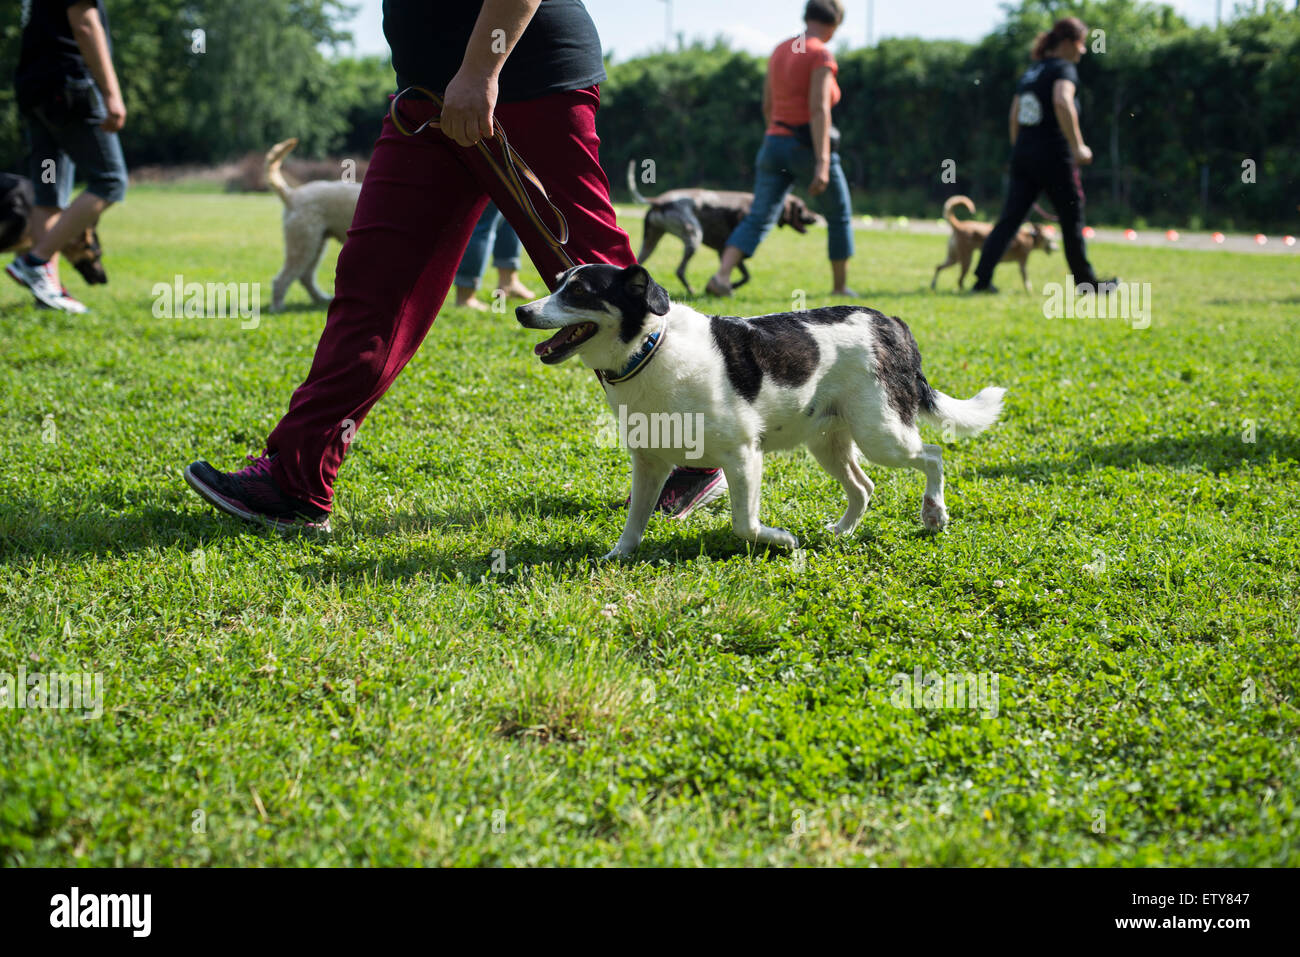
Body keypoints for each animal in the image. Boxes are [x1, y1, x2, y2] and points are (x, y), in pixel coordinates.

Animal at [265, 138, 364, 312]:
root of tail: (292, 195)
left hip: (316, 245)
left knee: (305, 276)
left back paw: (321, 298)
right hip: (304, 245)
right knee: (283, 279)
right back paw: (277, 307)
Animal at [517, 263, 1003, 561]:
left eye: (579, 292)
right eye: (556, 283)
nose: (521, 310)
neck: (651, 348)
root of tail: (892, 323)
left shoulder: (743, 457)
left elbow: (744, 524)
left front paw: (782, 541)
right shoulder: (649, 463)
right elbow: (635, 520)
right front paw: (619, 555)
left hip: (882, 433)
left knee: (934, 455)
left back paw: (934, 514)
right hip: (828, 441)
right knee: (863, 487)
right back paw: (842, 531)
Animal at [624, 160, 816, 295]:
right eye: (802, 208)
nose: (815, 218)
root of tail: (659, 201)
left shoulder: (723, 251)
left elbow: (746, 276)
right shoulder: (730, 249)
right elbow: (745, 277)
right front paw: (730, 287)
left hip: (650, 243)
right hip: (694, 237)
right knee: (680, 271)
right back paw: (691, 290)